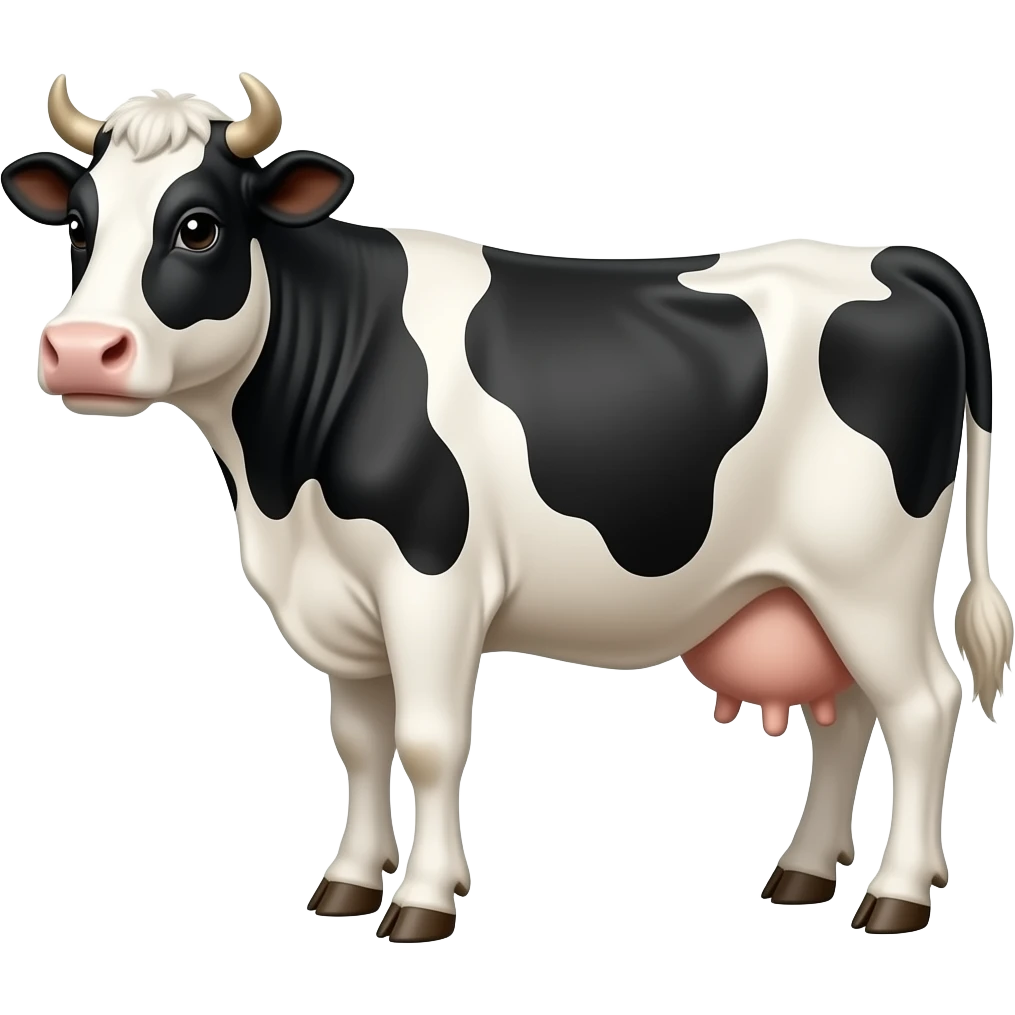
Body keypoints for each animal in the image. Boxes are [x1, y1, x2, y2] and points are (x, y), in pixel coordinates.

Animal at [3, 72, 1011, 943]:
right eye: (80, 224)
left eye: (199, 227)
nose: (80, 349)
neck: (279, 488)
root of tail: (894, 256)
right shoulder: (343, 602)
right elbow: (359, 743)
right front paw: (347, 883)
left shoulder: (431, 581)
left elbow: (428, 740)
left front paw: (419, 902)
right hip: (812, 586)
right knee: (847, 713)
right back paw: (801, 872)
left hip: (867, 571)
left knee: (922, 705)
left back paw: (895, 894)